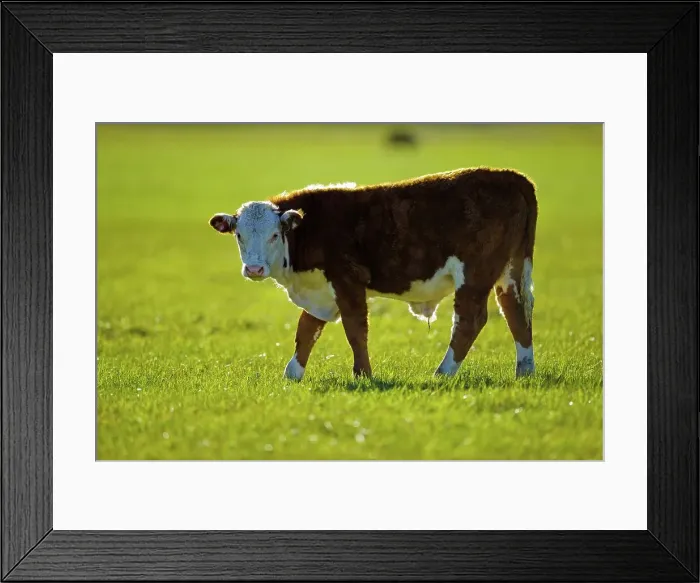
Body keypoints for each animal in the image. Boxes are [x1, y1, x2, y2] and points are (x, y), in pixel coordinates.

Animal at [209, 167, 537, 381]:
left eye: (274, 235)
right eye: (239, 235)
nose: (254, 269)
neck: (309, 229)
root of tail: (512, 176)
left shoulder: (347, 281)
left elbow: (355, 329)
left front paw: (363, 374)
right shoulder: (320, 290)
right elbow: (306, 331)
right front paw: (293, 374)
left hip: (475, 273)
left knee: (470, 319)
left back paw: (442, 373)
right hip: (509, 270)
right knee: (515, 310)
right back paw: (524, 371)